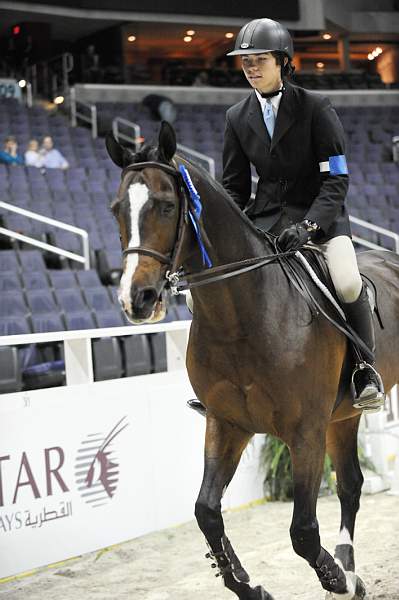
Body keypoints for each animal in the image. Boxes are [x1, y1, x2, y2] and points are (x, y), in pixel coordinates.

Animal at [105, 123, 399, 600]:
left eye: (166, 205)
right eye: (116, 209)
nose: (137, 299)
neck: (242, 316)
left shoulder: (305, 431)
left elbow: (302, 530)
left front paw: (333, 577)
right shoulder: (226, 423)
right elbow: (206, 511)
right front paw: (248, 583)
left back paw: (345, 572)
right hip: (343, 414)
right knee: (351, 485)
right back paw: (351, 570)